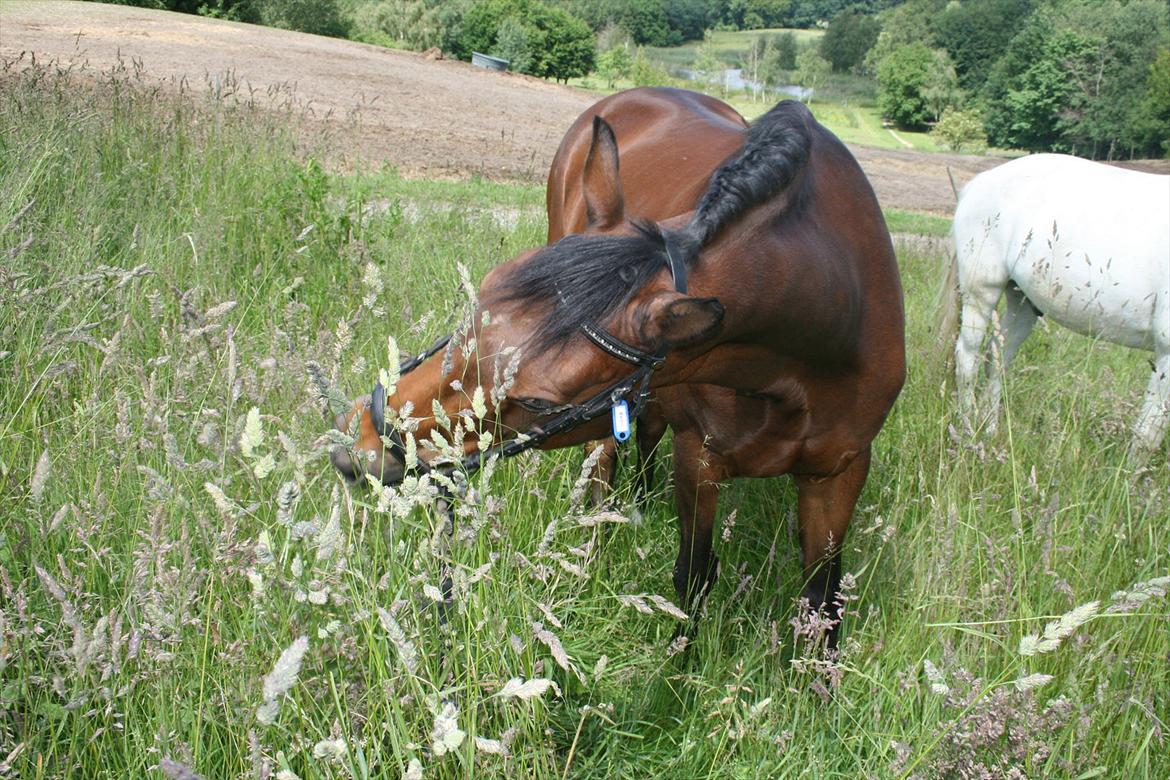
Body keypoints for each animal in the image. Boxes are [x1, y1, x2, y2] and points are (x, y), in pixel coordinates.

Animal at [329, 88, 903, 645]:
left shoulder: (840, 473)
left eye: (537, 400)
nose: (358, 441)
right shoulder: (700, 457)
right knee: (606, 463)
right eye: (484, 292)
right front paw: (679, 667)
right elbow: (694, 578)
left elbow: (822, 603)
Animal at [945, 154, 1170, 458]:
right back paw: (968, 428)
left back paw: (989, 429)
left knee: (997, 359)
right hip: (981, 293)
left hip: (1022, 302)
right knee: (967, 358)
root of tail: (980, 181)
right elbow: (1149, 431)